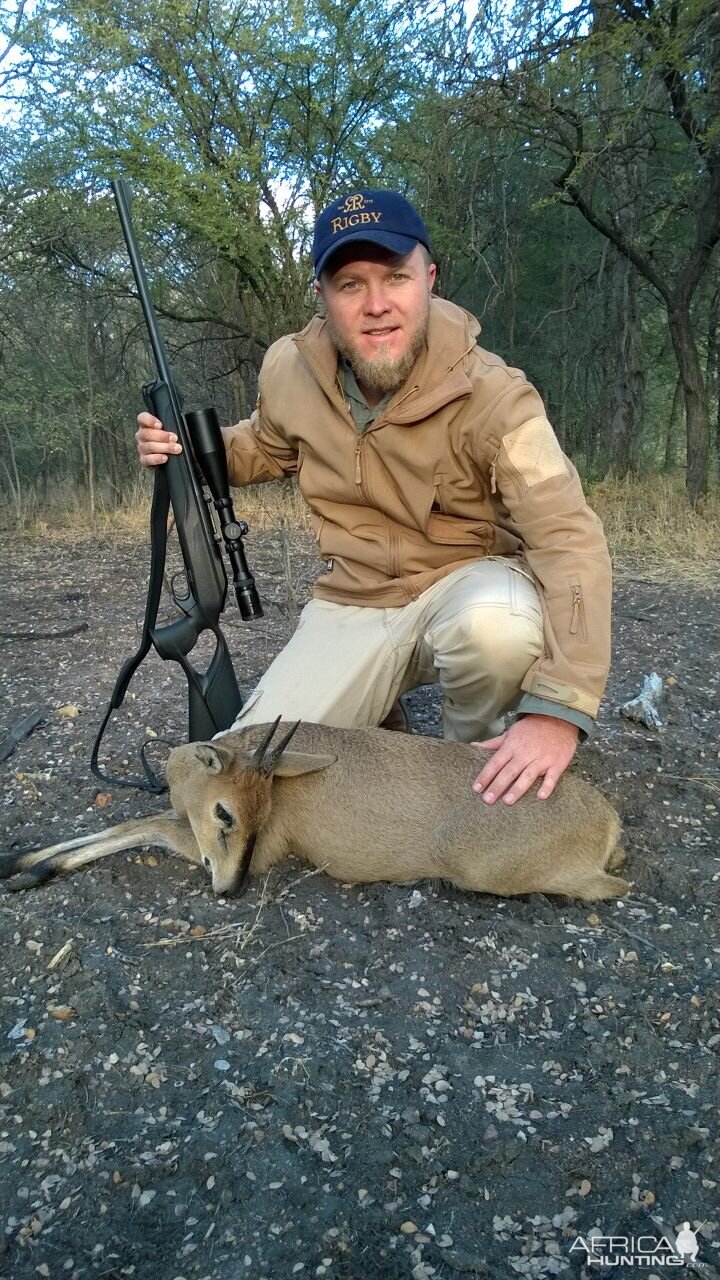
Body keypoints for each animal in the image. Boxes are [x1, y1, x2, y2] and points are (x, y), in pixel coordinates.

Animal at [0, 721, 627, 901]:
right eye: (228, 813)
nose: (229, 890)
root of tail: (607, 819)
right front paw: (18, 859)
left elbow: (141, 822)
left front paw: (30, 868)